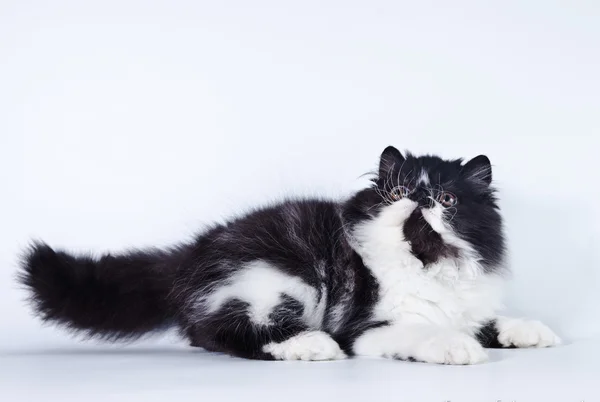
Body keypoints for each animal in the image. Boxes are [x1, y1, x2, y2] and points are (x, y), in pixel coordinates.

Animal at [19, 147, 564, 364]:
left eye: (447, 199)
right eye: (397, 191)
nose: (420, 198)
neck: (429, 267)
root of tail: (192, 252)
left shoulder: (467, 305)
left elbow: (490, 321)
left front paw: (531, 332)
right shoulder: (369, 328)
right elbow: (427, 332)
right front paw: (458, 348)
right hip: (284, 280)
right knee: (223, 333)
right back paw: (310, 345)